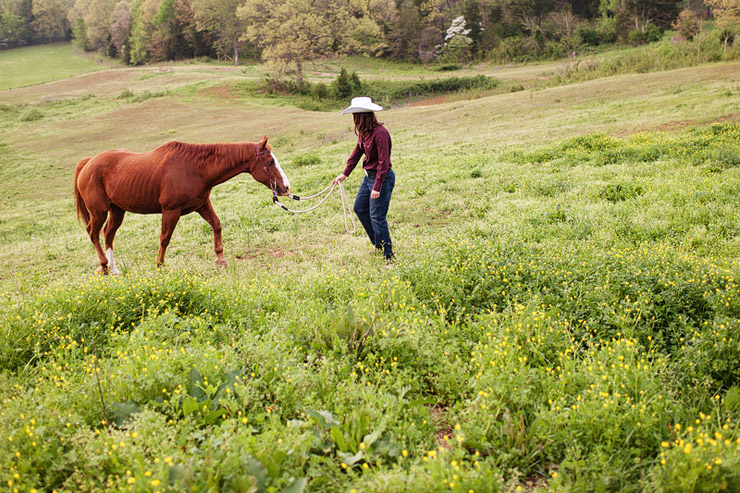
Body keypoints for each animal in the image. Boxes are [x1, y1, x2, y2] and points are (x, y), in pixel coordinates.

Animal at [73, 135, 290, 272]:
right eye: (270, 162)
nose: (285, 187)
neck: (195, 168)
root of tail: (88, 163)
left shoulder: (202, 205)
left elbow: (217, 225)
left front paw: (220, 259)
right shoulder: (171, 210)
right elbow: (165, 238)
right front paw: (160, 265)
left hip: (118, 211)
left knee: (108, 234)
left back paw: (114, 269)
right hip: (99, 212)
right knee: (93, 233)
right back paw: (103, 266)